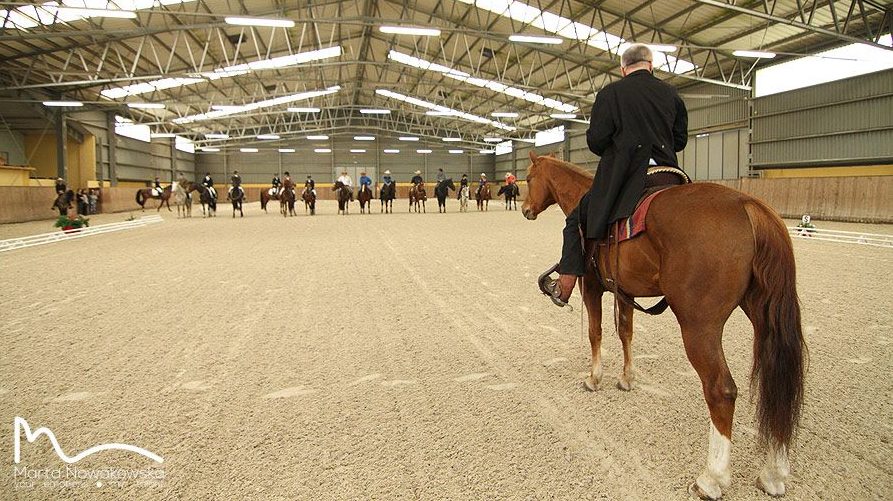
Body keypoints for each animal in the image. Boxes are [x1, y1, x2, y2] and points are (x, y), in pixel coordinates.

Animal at [520, 150, 804, 498]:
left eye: (529, 178)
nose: (526, 209)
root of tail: (748, 205)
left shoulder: (593, 288)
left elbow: (595, 333)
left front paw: (594, 378)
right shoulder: (624, 292)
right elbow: (625, 332)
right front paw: (626, 378)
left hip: (699, 326)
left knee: (721, 390)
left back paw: (712, 478)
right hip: (763, 315)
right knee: (777, 387)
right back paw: (773, 474)